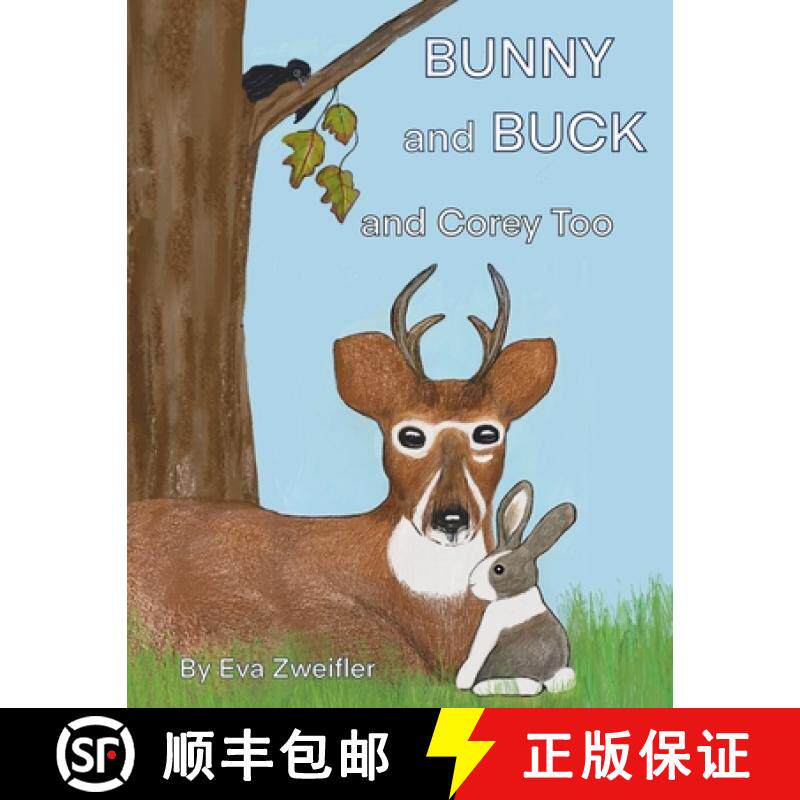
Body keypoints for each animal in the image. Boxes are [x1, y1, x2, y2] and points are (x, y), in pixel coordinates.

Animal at [455, 480, 577, 696]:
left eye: (499, 569)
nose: (472, 583)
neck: (515, 596)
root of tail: (548, 676)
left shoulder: (490, 627)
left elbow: (476, 654)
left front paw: (463, 681)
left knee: (527, 686)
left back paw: (482, 688)